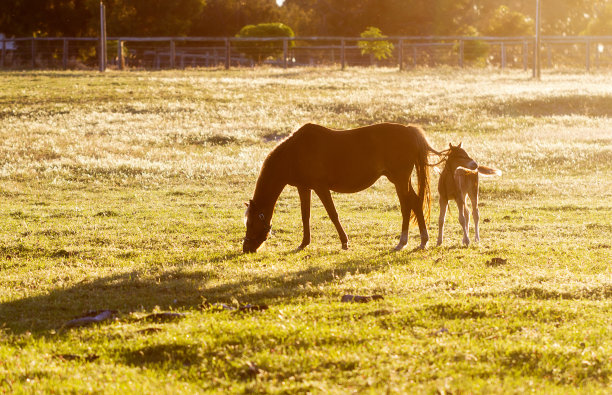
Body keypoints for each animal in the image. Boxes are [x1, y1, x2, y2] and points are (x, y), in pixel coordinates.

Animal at [243, 123, 440, 254]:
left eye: (251, 223)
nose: (246, 248)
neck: (294, 154)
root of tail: (408, 130)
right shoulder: (304, 188)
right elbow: (305, 215)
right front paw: (304, 243)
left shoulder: (321, 187)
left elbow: (332, 214)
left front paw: (344, 242)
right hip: (399, 180)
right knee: (415, 203)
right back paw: (422, 240)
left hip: (400, 179)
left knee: (407, 206)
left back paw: (404, 241)